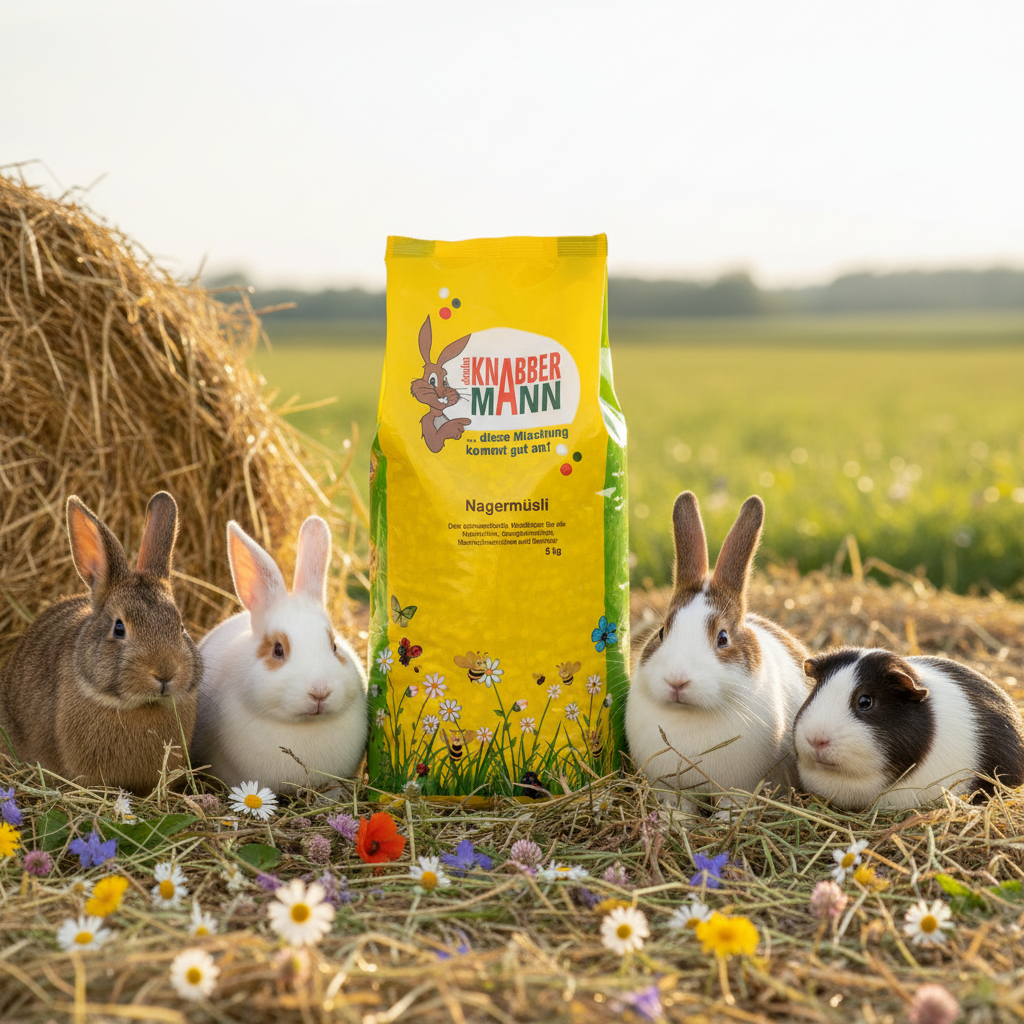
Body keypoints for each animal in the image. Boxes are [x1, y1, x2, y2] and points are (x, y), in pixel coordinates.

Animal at [410, 314, 472, 453]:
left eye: (445, 381)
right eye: (432, 380)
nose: (444, 394)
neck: (437, 414)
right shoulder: (428, 425)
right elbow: (435, 443)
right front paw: (456, 426)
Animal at [626, 491, 811, 814]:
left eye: (722, 638)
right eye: (661, 632)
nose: (677, 681)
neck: (689, 714)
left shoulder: (738, 789)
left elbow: (730, 807)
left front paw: (724, 820)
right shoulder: (673, 789)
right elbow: (679, 807)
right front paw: (675, 820)